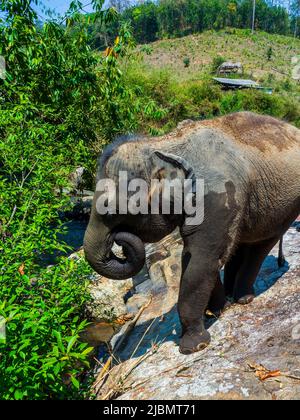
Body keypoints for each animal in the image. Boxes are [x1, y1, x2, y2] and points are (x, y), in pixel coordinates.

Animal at [84, 111, 300, 354]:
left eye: (110, 212)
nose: (118, 239)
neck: (162, 144)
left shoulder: (216, 199)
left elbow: (201, 260)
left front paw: (194, 345)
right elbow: (195, 258)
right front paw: (216, 310)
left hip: (286, 206)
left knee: (260, 246)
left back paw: (243, 298)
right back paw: (232, 296)